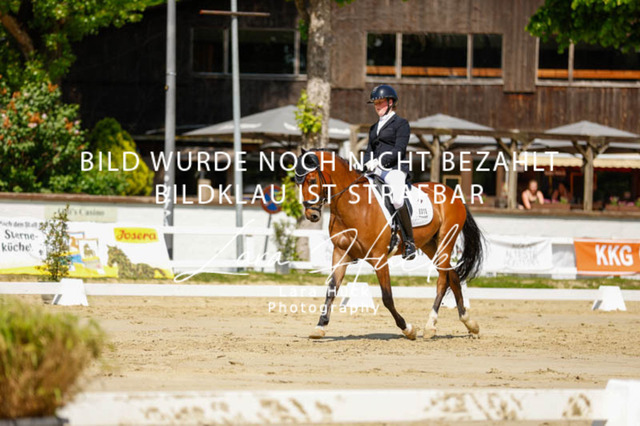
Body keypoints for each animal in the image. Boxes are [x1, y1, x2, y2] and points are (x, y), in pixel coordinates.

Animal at [294, 149, 484, 340]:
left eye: (312, 180)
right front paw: (320, 326)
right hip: (429, 245)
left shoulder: (379, 257)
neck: (353, 205)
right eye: (297, 182)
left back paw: (430, 325)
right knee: (452, 275)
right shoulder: (341, 253)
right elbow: (331, 289)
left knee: (443, 279)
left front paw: (408, 329)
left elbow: (387, 297)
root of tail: (454, 194)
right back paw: (470, 324)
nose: (312, 215)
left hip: (446, 240)